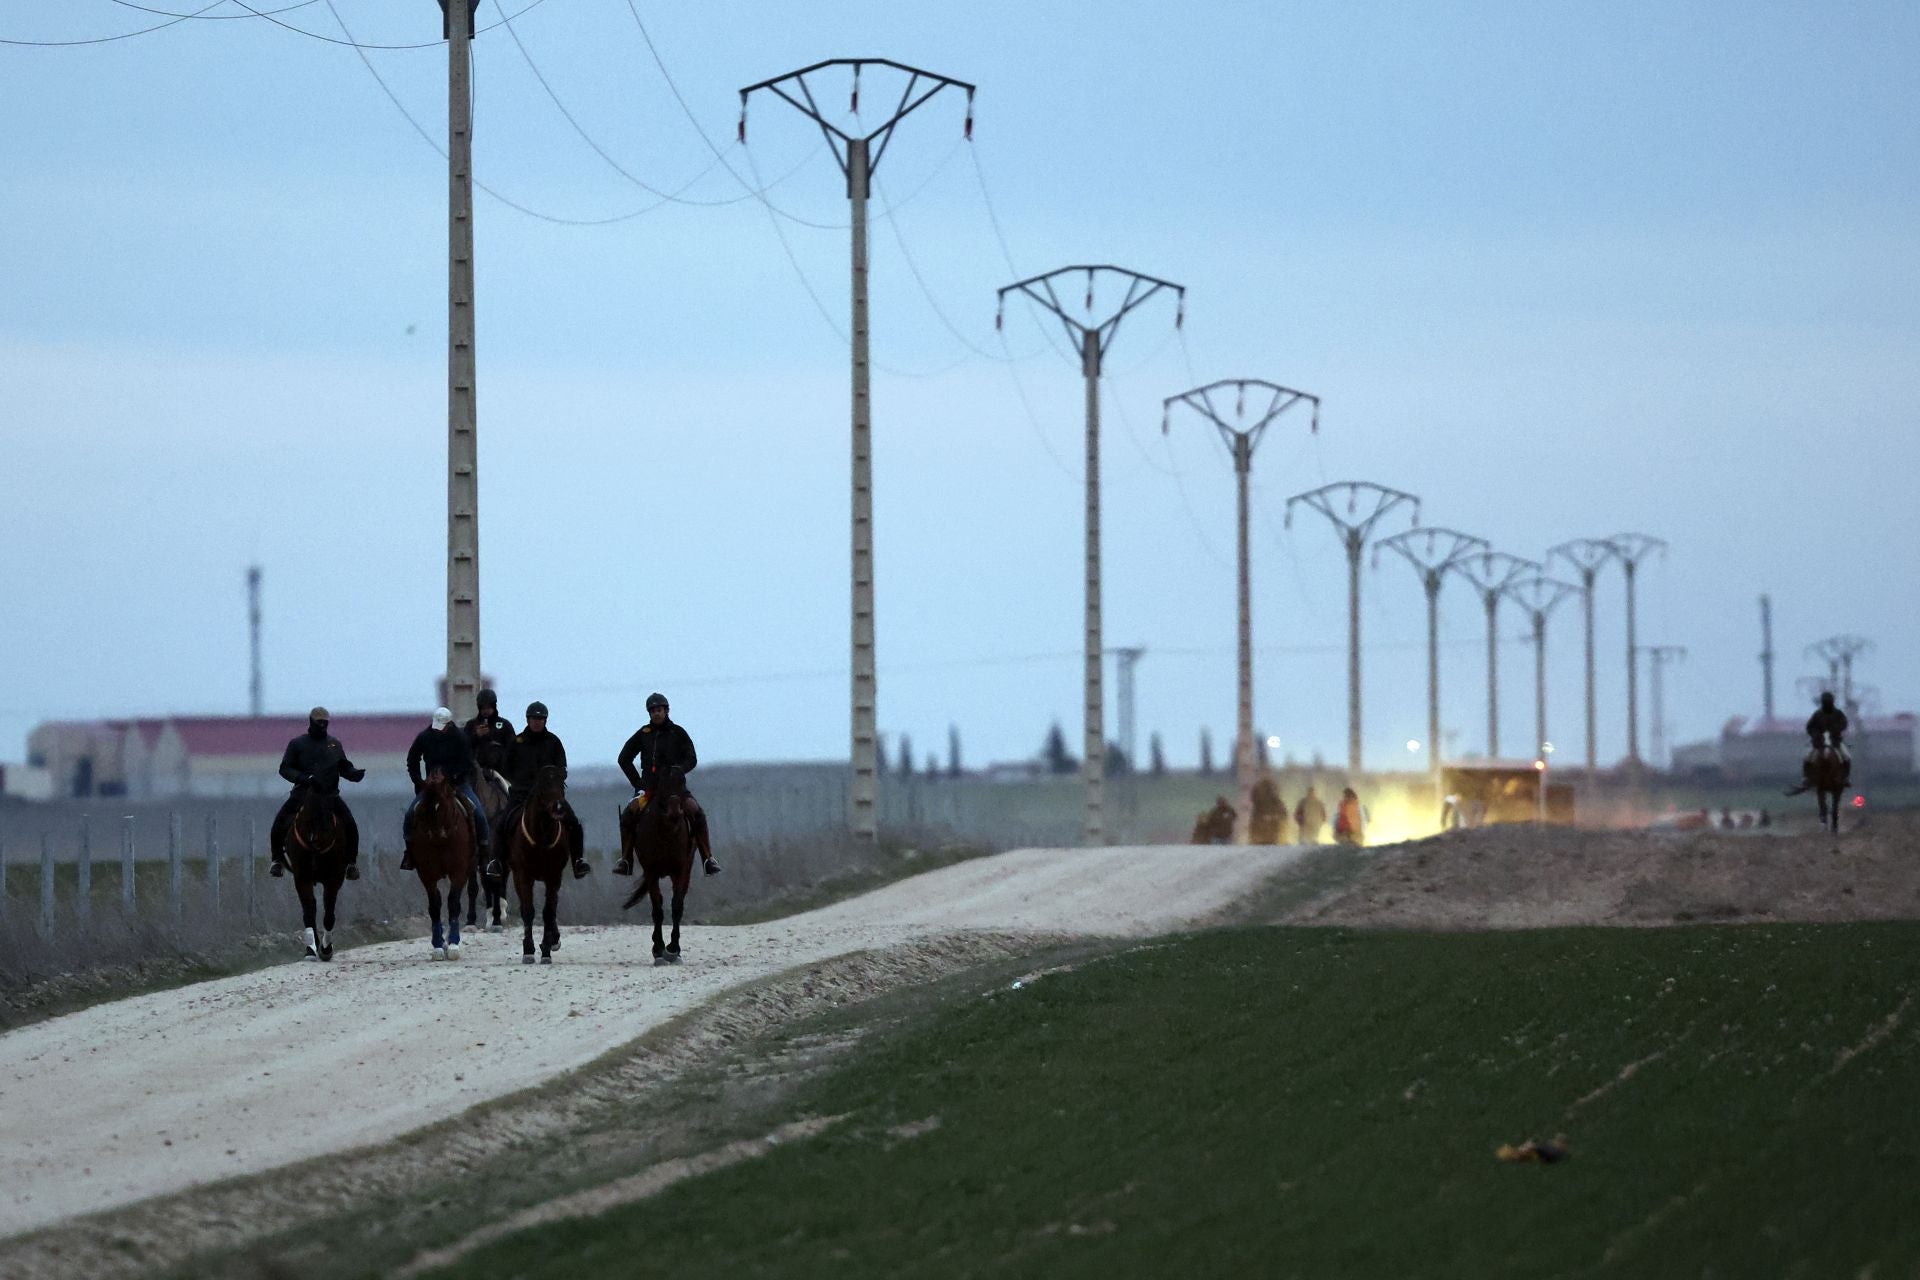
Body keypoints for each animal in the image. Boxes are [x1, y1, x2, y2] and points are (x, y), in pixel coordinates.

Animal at [288, 782, 357, 959]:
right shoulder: (301, 878)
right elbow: (309, 910)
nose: (317, 839)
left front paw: (326, 948)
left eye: (328, 807)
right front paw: (310, 949)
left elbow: (329, 912)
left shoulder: (334, 878)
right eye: (306, 809)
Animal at [405, 771, 476, 959]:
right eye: (423, 810)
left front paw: (453, 945)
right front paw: (438, 945)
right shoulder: (426, 874)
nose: (436, 835)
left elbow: (453, 903)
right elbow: (435, 905)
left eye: (443, 807)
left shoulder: (459, 871)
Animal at [503, 767, 568, 967]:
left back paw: (554, 940)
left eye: (562, 784)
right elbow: (528, 911)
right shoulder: (522, 875)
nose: (559, 807)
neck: (541, 838)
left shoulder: (554, 876)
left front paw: (546, 950)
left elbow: (548, 912)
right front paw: (528, 951)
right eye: (543, 787)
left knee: (553, 907)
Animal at [618, 767, 695, 967]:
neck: (667, 832)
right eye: (662, 785)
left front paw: (673, 950)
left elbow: (676, 906)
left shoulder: (681, 870)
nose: (674, 812)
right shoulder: (651, 871)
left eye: (682, 782)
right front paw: (659, 950)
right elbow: (657, 909)